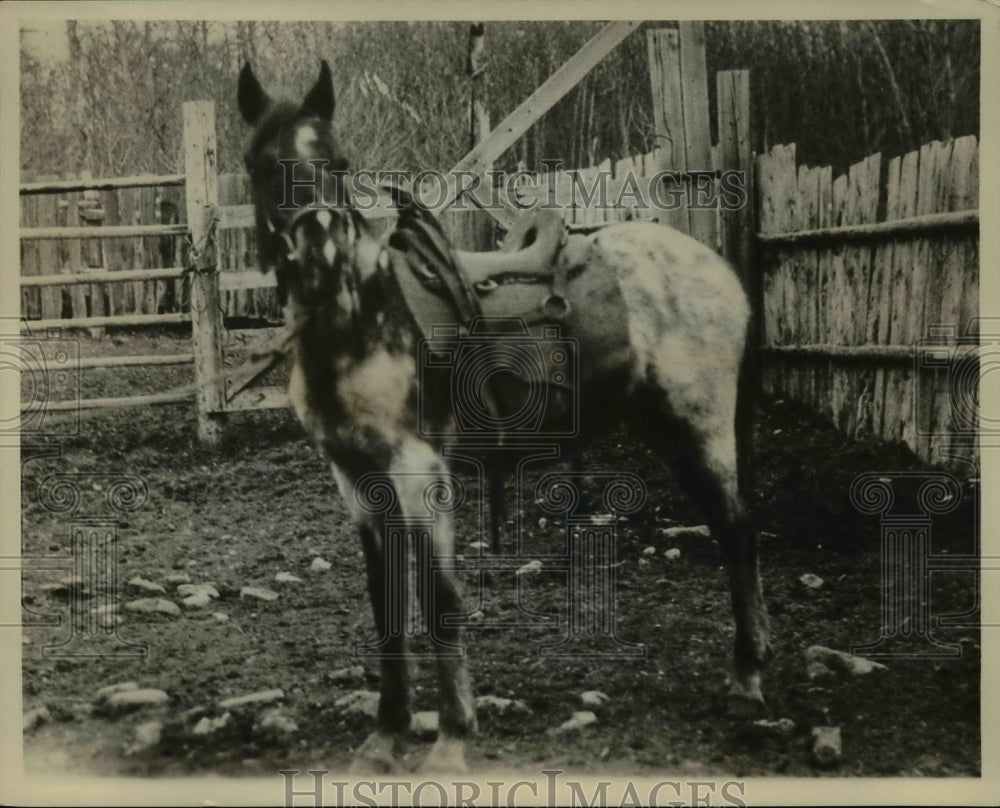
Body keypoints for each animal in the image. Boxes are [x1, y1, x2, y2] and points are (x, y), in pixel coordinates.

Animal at [238, 61, 768, 772]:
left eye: (338, 163)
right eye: (262, 163)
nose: (325, 258)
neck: (362, 320)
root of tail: (718, 270)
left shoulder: (419, 475)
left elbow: (439, 599)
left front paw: (451, 740)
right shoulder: (357, 482)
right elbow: (386, 600)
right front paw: (386, 735)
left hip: (701, 426)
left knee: (737, 529)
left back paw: (748, 680)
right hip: (669, 431)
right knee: (728, 526)